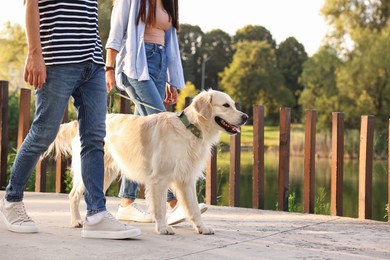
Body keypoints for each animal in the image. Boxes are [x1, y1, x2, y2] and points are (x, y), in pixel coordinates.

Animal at [45, 89, 247, 236]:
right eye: (226, 105)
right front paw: (163, 228)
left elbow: (194, 208)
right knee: (73, 195)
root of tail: (78, 123)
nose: (245, 117)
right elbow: (160, 208)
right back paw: (77, 221)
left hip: (105, 171)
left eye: (233, 104)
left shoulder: (186, 179)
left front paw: (202, 227)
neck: (190, 129)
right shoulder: (160, 178)